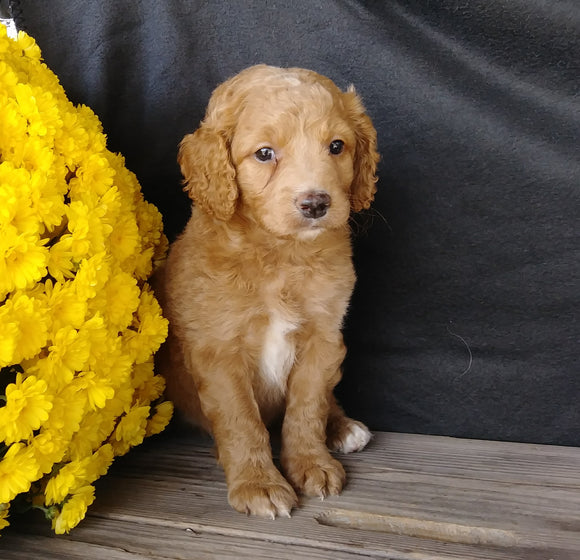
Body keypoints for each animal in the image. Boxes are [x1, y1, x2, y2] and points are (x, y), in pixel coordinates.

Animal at [155, 63, 380, 520]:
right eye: (264, 154)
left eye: (336, 146)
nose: (316, 204)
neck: (280, 256)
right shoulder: (219, 352)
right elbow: (243, 422)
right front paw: (258, 483)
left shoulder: (323, 338)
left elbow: (307, 408)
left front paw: (312, 463)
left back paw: (344, 426)